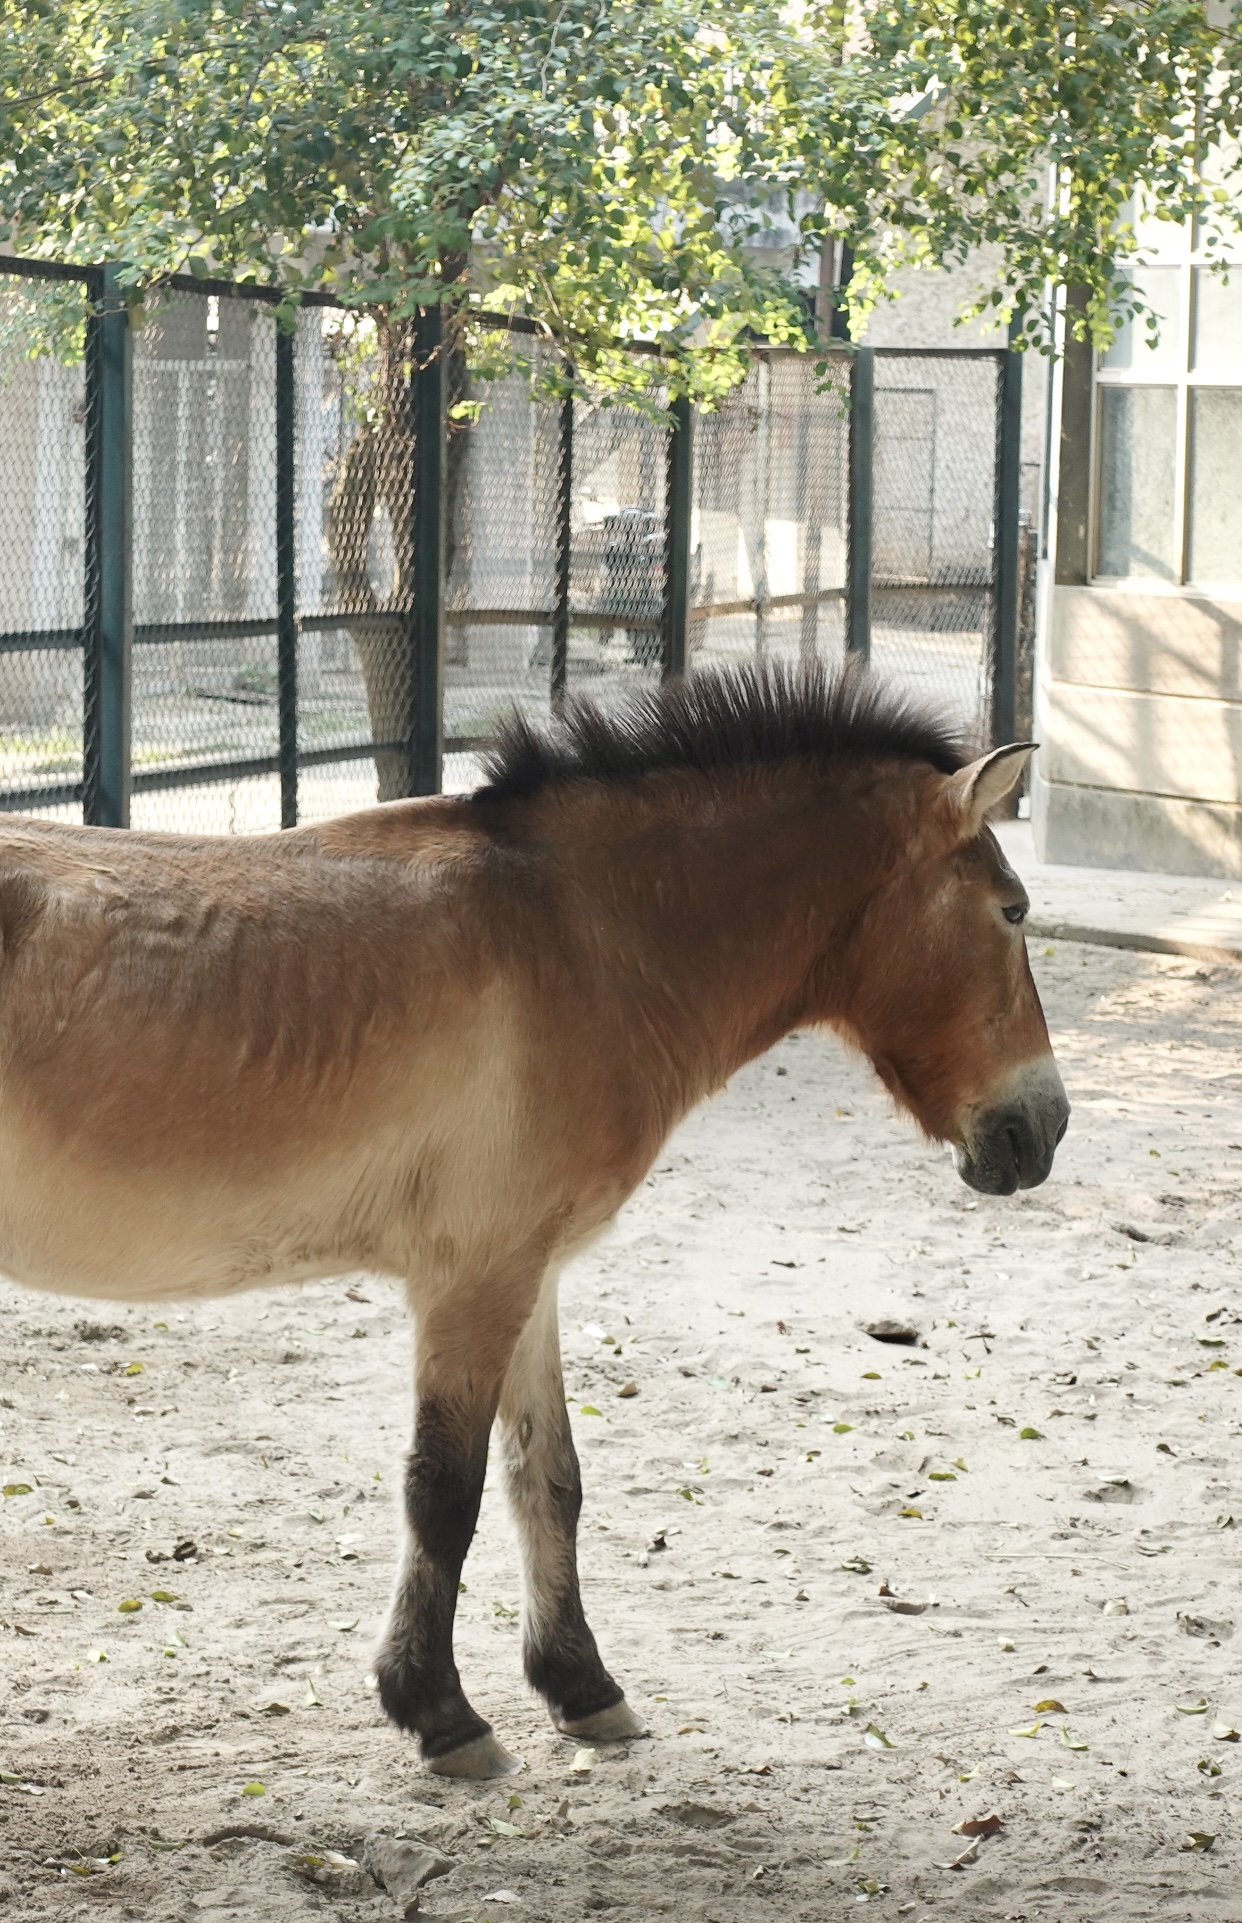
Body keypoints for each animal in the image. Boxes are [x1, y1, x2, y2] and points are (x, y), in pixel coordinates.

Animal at [0, 657, 1068, 1769]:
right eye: (1012, 910)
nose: (1043, 1129)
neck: (578, 934)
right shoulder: (475, 1280)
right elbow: (445, 1491)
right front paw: (440, 1713)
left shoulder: (533, 1273)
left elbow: (547, 1478)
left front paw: (581, 1686)